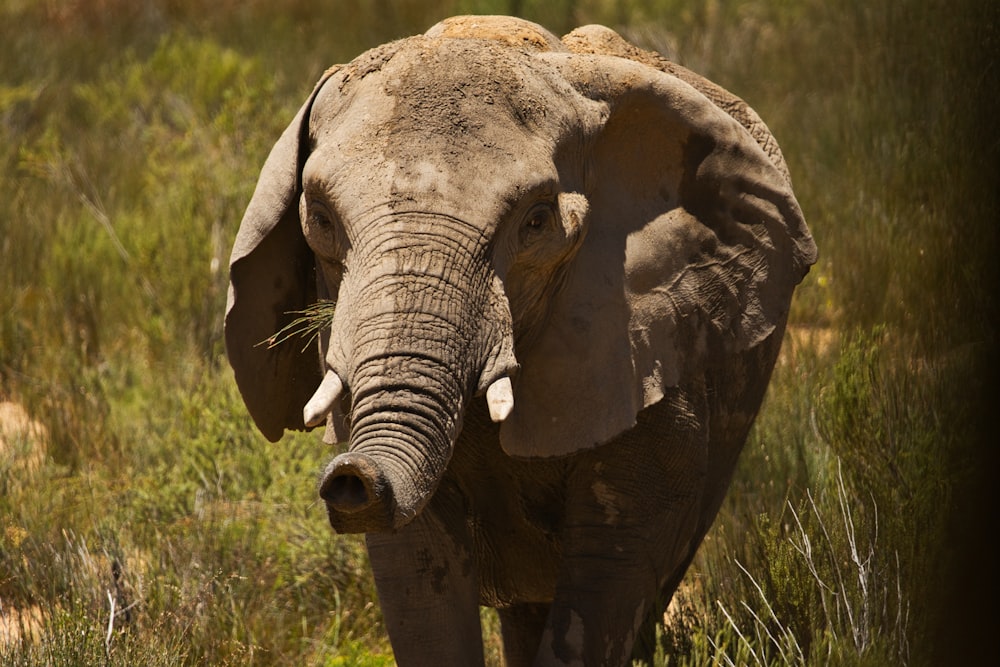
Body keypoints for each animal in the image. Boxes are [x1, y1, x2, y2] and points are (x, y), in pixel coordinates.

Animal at [229, 15, 820, 667]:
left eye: (536, 223)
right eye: (321, 220)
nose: (349, 477)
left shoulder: (641, 342)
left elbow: (616, 563)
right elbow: (418, 570)